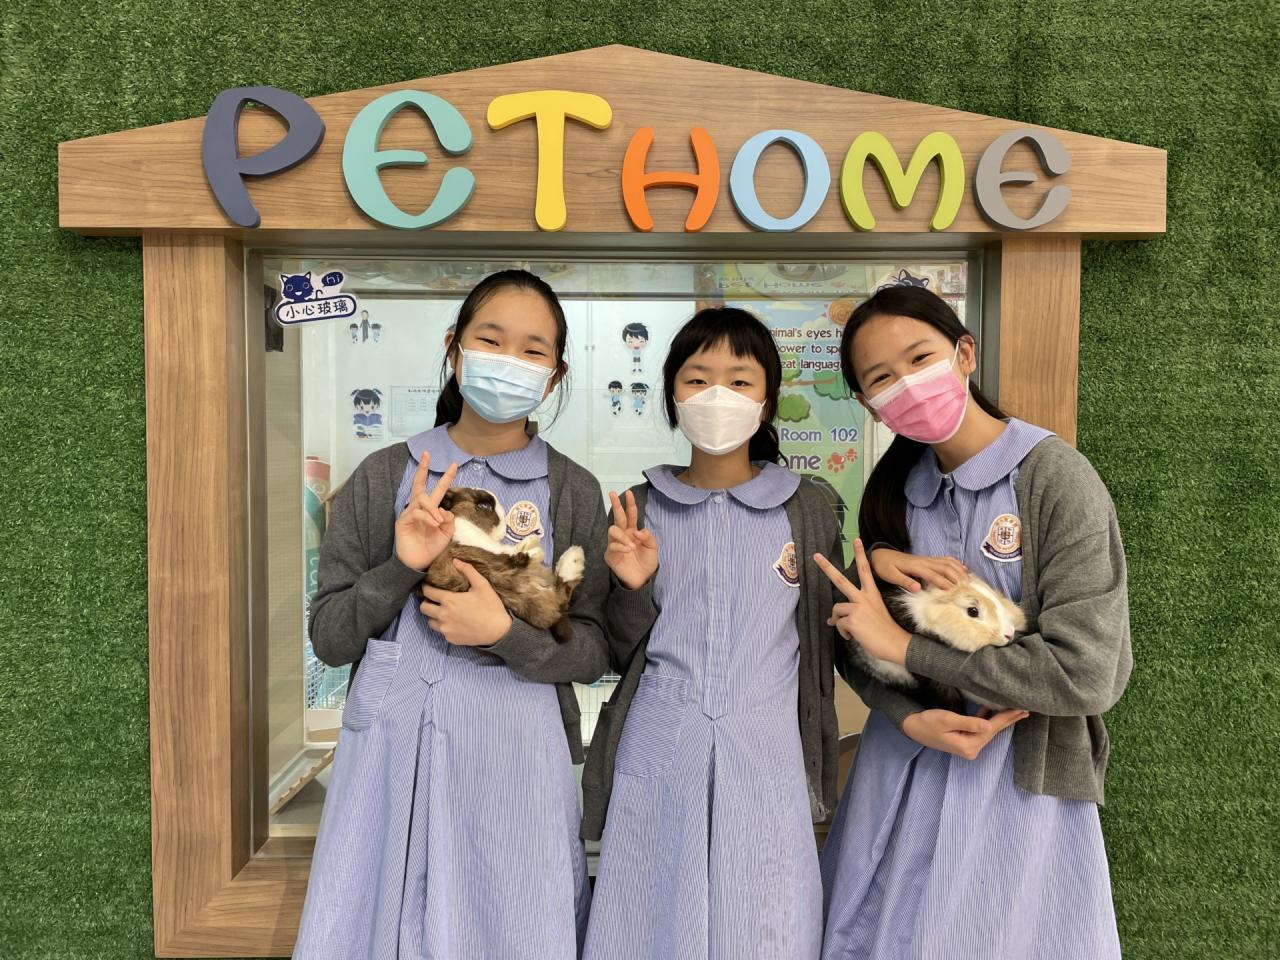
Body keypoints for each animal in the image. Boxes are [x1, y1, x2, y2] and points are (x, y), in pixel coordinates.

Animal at [418, 487, 585, 644]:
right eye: (484, 505)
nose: (503, 523)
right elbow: (505, 555)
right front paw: (531, 547)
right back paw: (563, 554)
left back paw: (573, 557)